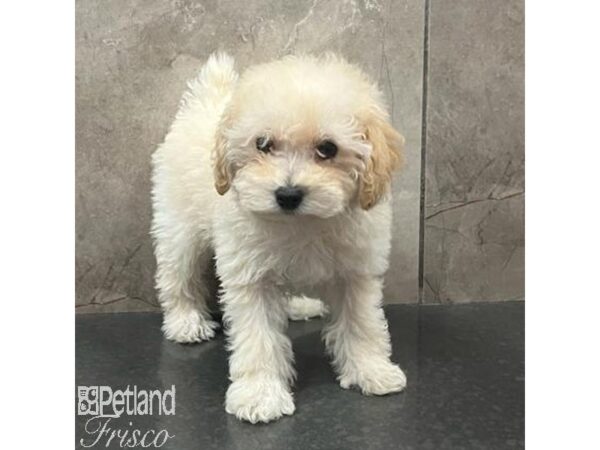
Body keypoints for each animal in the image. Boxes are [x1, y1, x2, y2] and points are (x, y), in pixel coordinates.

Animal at [151, 53, 408, 426]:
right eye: (263, 144)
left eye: (328, 149)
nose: (288, 194)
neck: (301, 224)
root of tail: (205, 101)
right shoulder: (250, 279)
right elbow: (258, 338)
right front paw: (259, 395)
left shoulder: (356, 273)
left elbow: (362, 323)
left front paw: (372, 370)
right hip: (178, 226)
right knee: (177, 274)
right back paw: (185, 321)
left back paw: (298, 305)